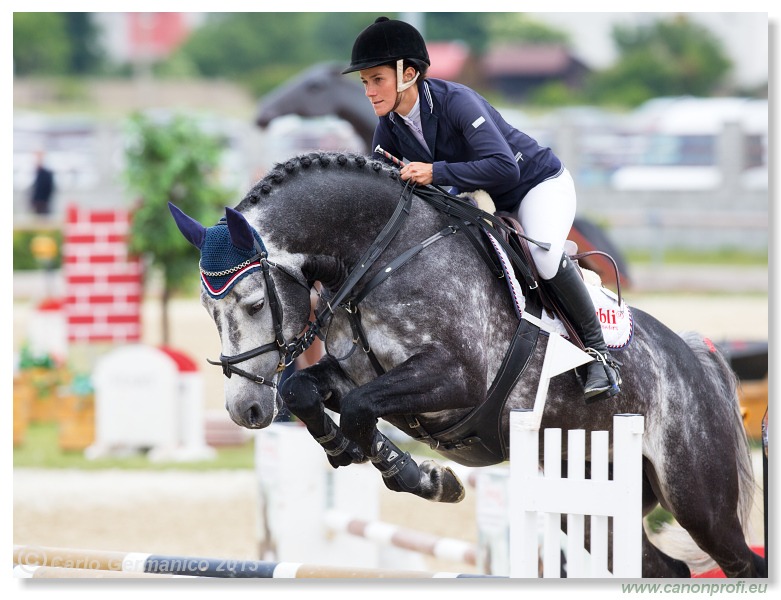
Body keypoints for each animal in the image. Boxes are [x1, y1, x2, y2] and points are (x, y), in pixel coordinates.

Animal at [171, 152, 760, 580]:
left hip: (698, 499)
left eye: (253, 304)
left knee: (740, 561)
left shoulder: (455, 380)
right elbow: (305, 392)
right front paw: (376, 459)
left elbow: (360, 409)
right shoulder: (356, 373)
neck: (380, 256)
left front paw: (420, 476)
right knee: (667, 567)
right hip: (590, 500)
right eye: (207, 308)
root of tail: (695, 360)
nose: (245, 410)